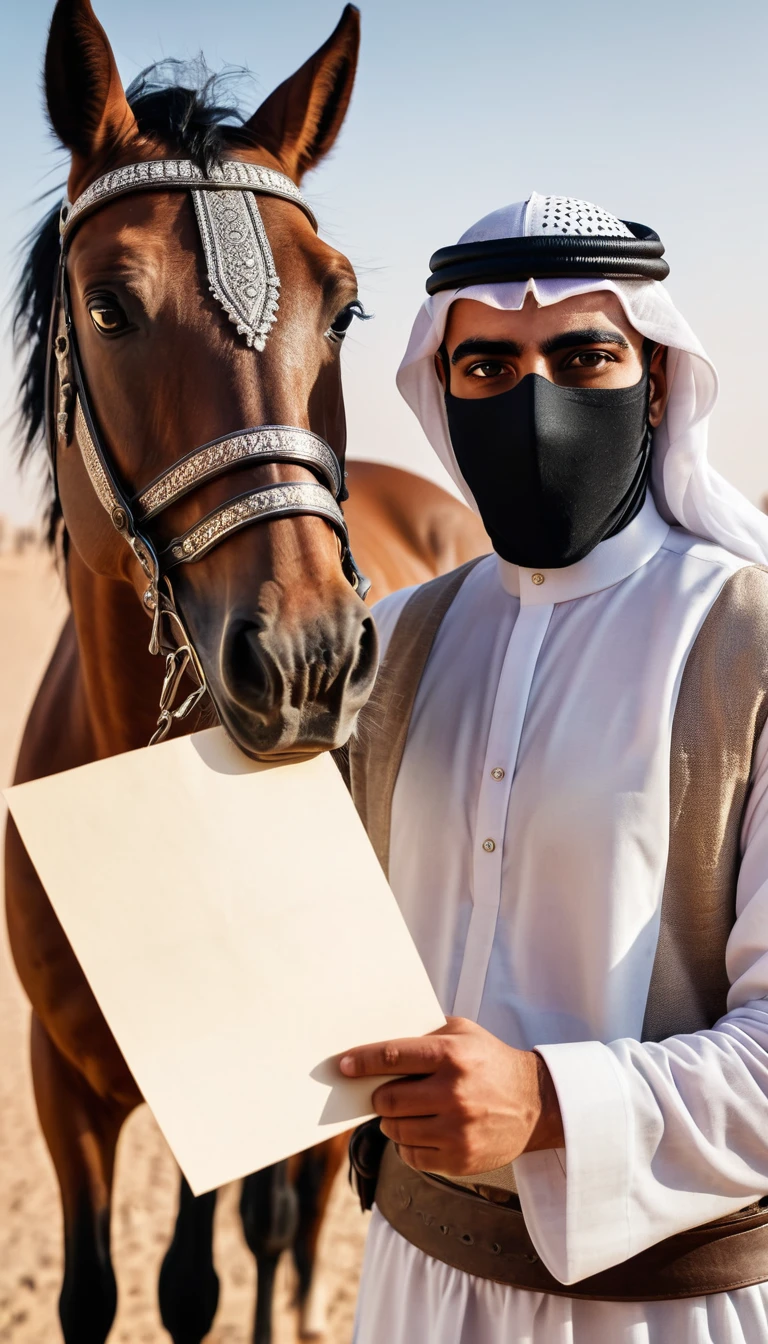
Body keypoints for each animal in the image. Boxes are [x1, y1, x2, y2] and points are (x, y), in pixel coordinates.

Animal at [4, 5, 486, 1338]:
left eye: (347, 310)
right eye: (109, 307)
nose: (308, 655)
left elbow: (199, 1278)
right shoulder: (61, 1081)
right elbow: (93, 1293)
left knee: (290, 1220)